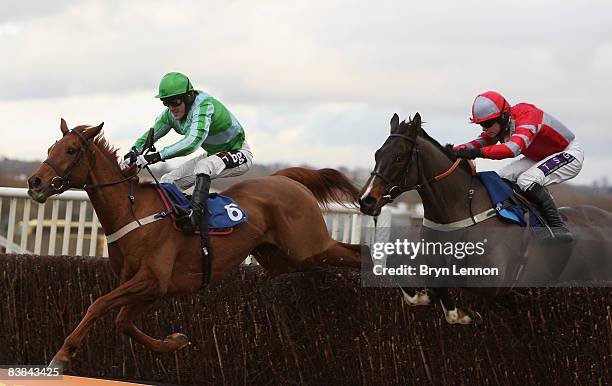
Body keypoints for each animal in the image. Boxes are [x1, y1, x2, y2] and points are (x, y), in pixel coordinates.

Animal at [27, 119, 364, 370]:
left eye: (71, 150)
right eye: (51, 147)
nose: (35, 183)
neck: (133, 211)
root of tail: (286, 179)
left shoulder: (151, 279)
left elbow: (98, 304)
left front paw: (60, 356)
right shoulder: (153, 286)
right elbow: (123, 322)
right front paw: (176, 341)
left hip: (309, 247)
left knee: (355, 252)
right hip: (283, 259)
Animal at [358, 113, 612, 324]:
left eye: (399, 157)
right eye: (377, 154)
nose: (367, 200)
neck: (460, 209)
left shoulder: (492, 281)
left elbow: (450, 284)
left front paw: (463, 314)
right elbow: (397, 270)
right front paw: (424, 298)